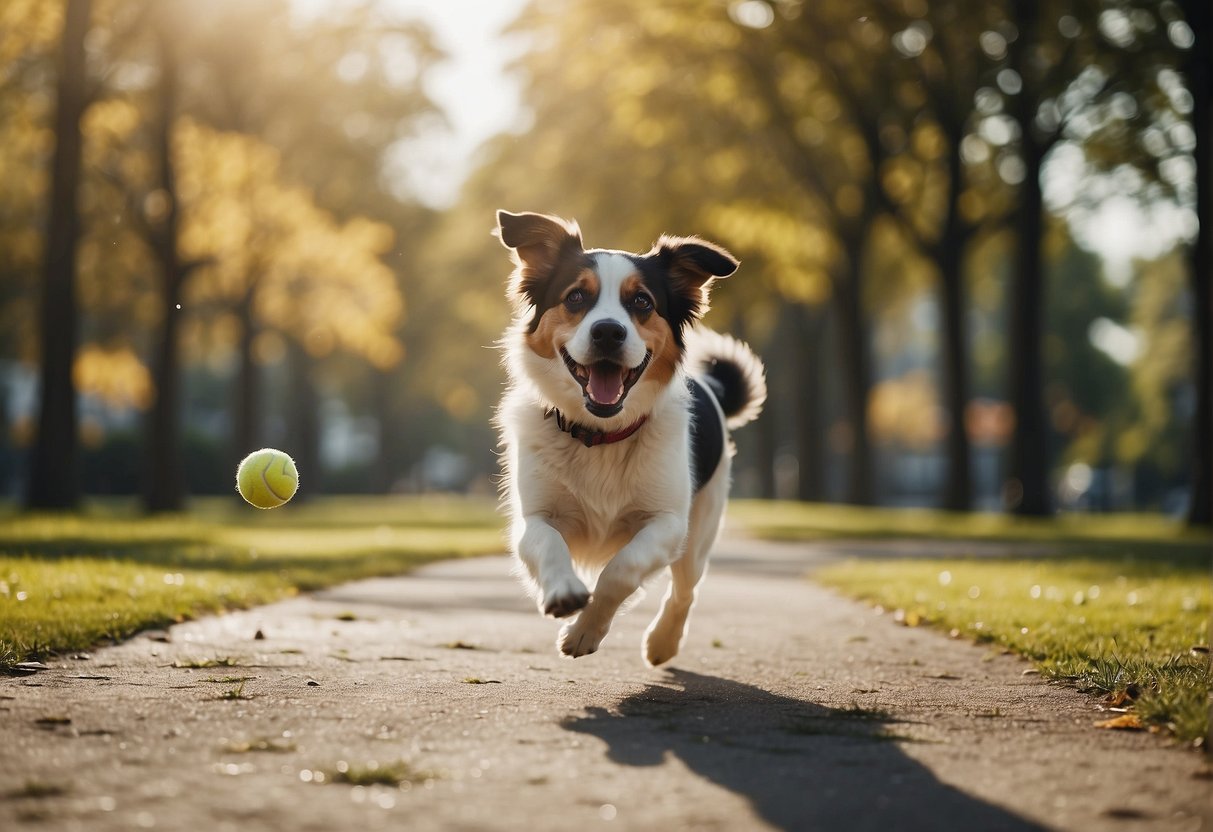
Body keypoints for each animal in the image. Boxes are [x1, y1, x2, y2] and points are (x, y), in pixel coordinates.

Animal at [494, 212, 766, 669]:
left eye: (641, 302)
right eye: (575, 297)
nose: (608, 332)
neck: (600, 435)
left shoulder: (668, 524)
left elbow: (621, 570)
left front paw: (584, 630)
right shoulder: (534, 517)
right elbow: (549, 543)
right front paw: (564, 593)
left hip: (700, 532)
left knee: (685, 591)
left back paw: (662, 643)